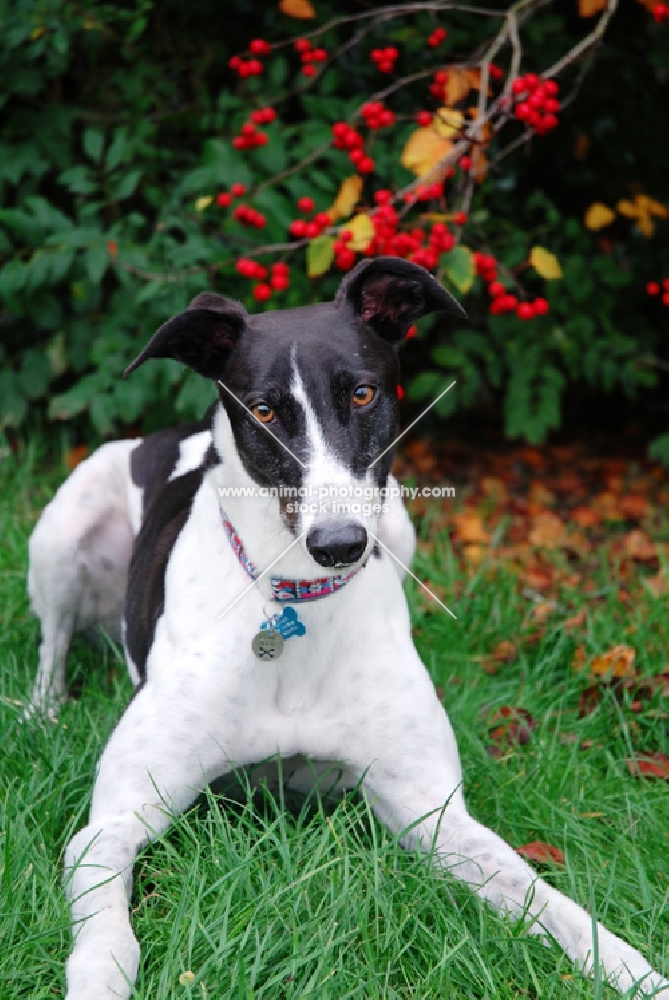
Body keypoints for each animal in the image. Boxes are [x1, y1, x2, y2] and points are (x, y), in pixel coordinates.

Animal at [27, 262, 668, 996]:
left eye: (362, 393)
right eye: (263, 410)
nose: (338, 544)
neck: (297, 606)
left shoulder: (433, 813)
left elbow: (552, 902)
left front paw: (634, 968)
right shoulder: (112, 824)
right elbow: (108, 934)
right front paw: (98, 977)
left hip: (399, 522)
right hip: (63, 529)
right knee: (52, 641)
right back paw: (42, 710)